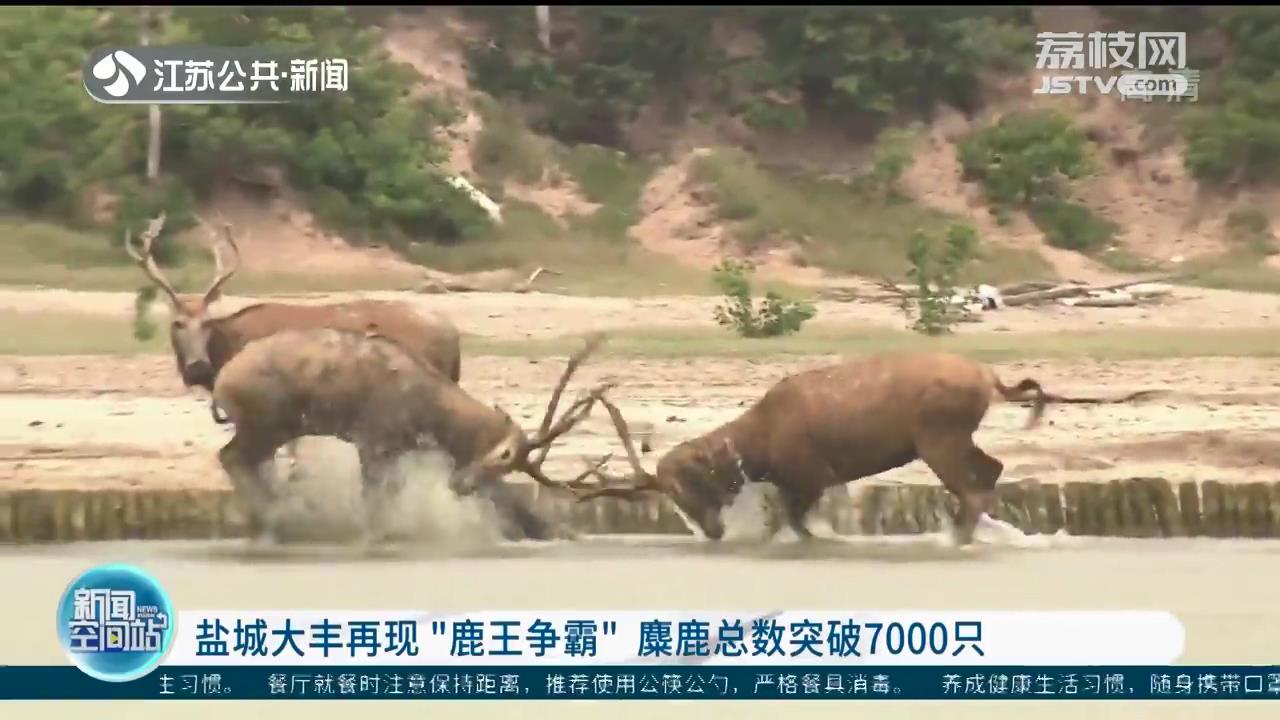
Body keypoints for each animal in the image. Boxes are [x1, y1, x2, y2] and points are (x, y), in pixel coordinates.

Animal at [210, 327, 613, 544]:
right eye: (506, 456)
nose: (461, 485)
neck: (432, 412)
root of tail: (221, 381)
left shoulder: (401, 450)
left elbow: (391, 493)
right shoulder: (373, 441)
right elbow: (374, 499)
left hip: (273, 428)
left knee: (237, 459)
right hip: (266, 423)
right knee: (232, 457)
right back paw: (274, 518)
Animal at [560, 351, 1161, 546]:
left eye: (686, 482)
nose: (710, 531)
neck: (758, 447)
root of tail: (990, 378)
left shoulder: (811, 474)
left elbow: (796, 524)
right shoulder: (801, 481)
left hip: (937, 436)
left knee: (972, 485)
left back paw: (956, 537)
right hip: (954, 436)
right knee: (992, 469)